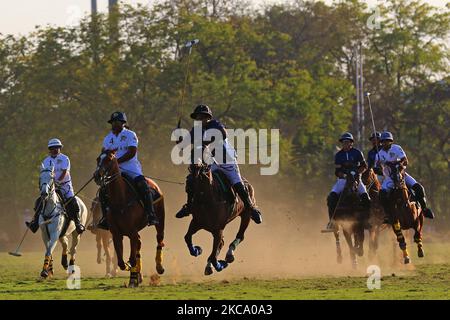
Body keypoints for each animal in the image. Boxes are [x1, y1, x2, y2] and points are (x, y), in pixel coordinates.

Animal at [93, 150, 165, 288]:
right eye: (98, 159)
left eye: (109, 159)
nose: (97, 175)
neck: (120, 199)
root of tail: (154, 184)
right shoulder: (116, 234)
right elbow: (121, 261)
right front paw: (132, 273)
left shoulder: (131, 232)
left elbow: (131, 259)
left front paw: (133, 275)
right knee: (139, 245)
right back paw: (137, 277)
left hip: (160, 219)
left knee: (159, 239)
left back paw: (159, 267)